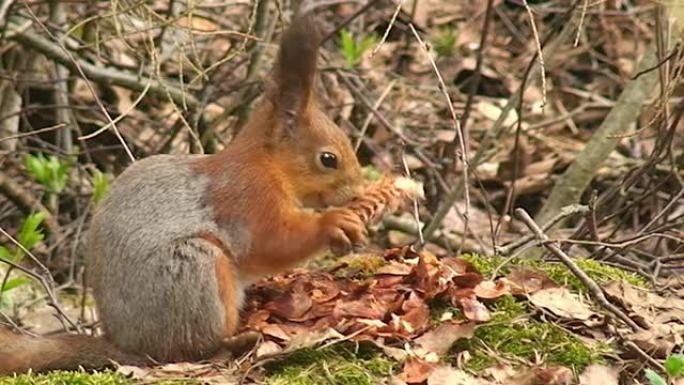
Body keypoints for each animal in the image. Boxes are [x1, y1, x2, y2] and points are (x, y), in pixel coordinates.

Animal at [0, 15, 368, 372]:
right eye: (328, 159)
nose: (356, 191)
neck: (267, 165)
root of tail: (133, 347)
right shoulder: (248, 199)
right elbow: (274, 241)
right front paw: (334, 223)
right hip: (194, 271)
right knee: (192, 348)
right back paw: (235, 341)